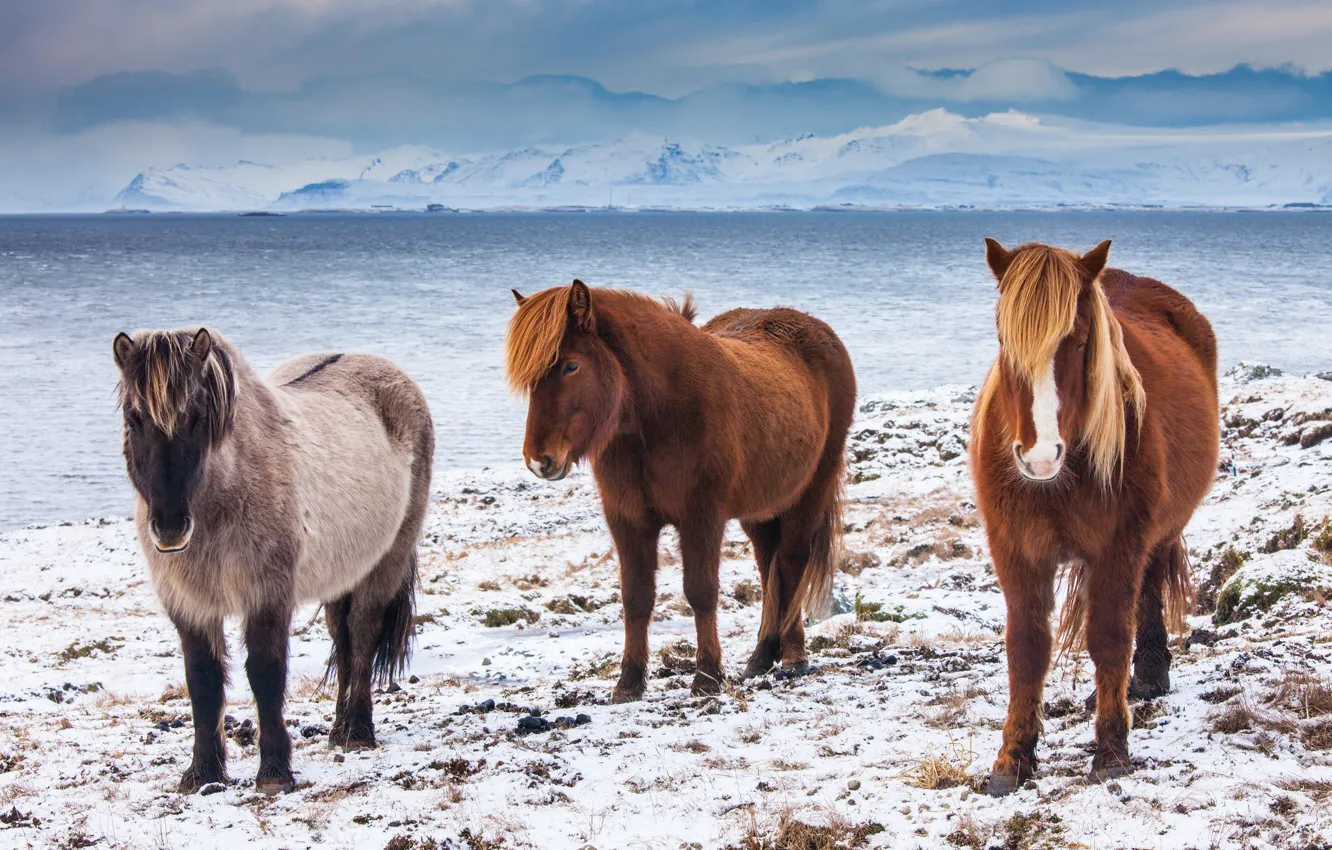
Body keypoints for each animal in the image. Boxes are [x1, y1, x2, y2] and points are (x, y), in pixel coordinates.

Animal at [503, 282, 857, 703]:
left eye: (571, 365)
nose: (539, 460)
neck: (656, 415)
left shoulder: (700, 518)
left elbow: (701, 591)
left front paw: (707, 677)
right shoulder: (628, 521)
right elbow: (636, 597)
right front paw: (629, 682)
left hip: (811, 493)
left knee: (790, 564)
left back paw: (794, 658)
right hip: (761, 511)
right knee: (769, 566)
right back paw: (760, 657)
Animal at [969, 241, 1220, 799]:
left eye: (1081, 340)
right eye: (1001, 338)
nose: (1038, 455)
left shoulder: (1118, 547)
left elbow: (1108, 637)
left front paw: (1111, 751)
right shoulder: (1015, 552)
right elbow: (1026, 646)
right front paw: (1013, 758)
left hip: (1156, 535)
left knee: (1147, 592)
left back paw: (1146, 679)